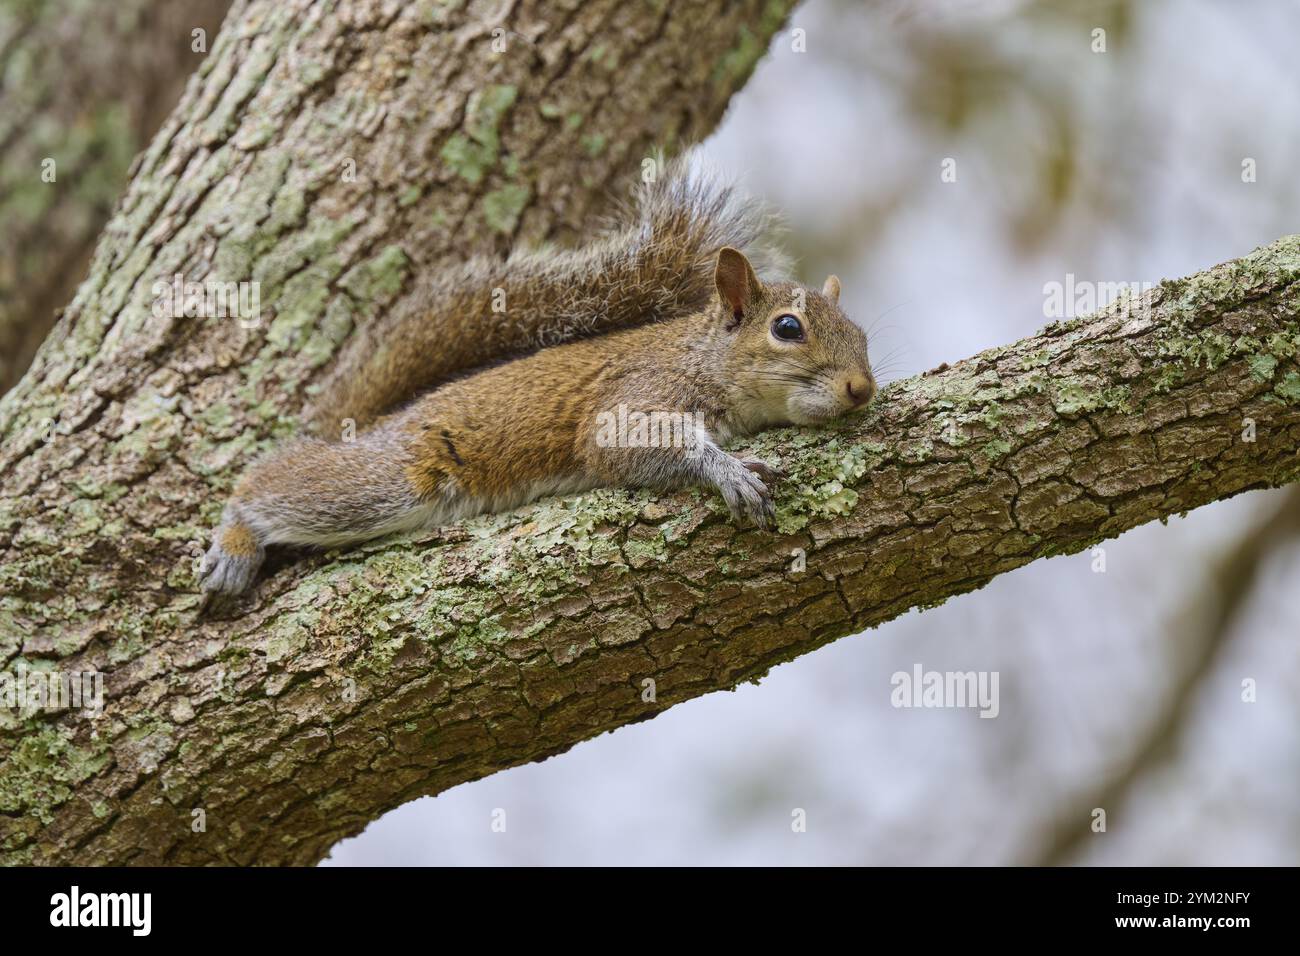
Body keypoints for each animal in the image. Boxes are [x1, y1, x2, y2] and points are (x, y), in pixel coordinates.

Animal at [197, 153, 878, 595]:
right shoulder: (636, 394)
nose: (861, 388)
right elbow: (622, 443)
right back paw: (234, 542)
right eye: (787, 328)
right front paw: (728, 470)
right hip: (389, 478)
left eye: (864, 334)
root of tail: (379, 421)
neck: (700, 355)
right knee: (271, 483)